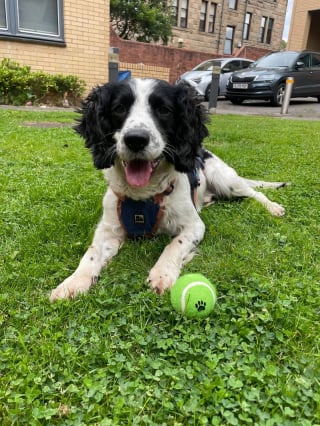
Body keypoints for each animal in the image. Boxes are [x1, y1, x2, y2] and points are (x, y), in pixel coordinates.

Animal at [50, 78, 288, 302]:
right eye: (119, 108)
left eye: (163, 110)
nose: (136, 139)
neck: (142, 195)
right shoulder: (108, 229)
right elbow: (90, 254)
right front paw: (73, 282)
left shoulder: (194, 226)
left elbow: (174, 245)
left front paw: (162, 274)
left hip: (226, 180)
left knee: (255, 193)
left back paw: (273, 207)